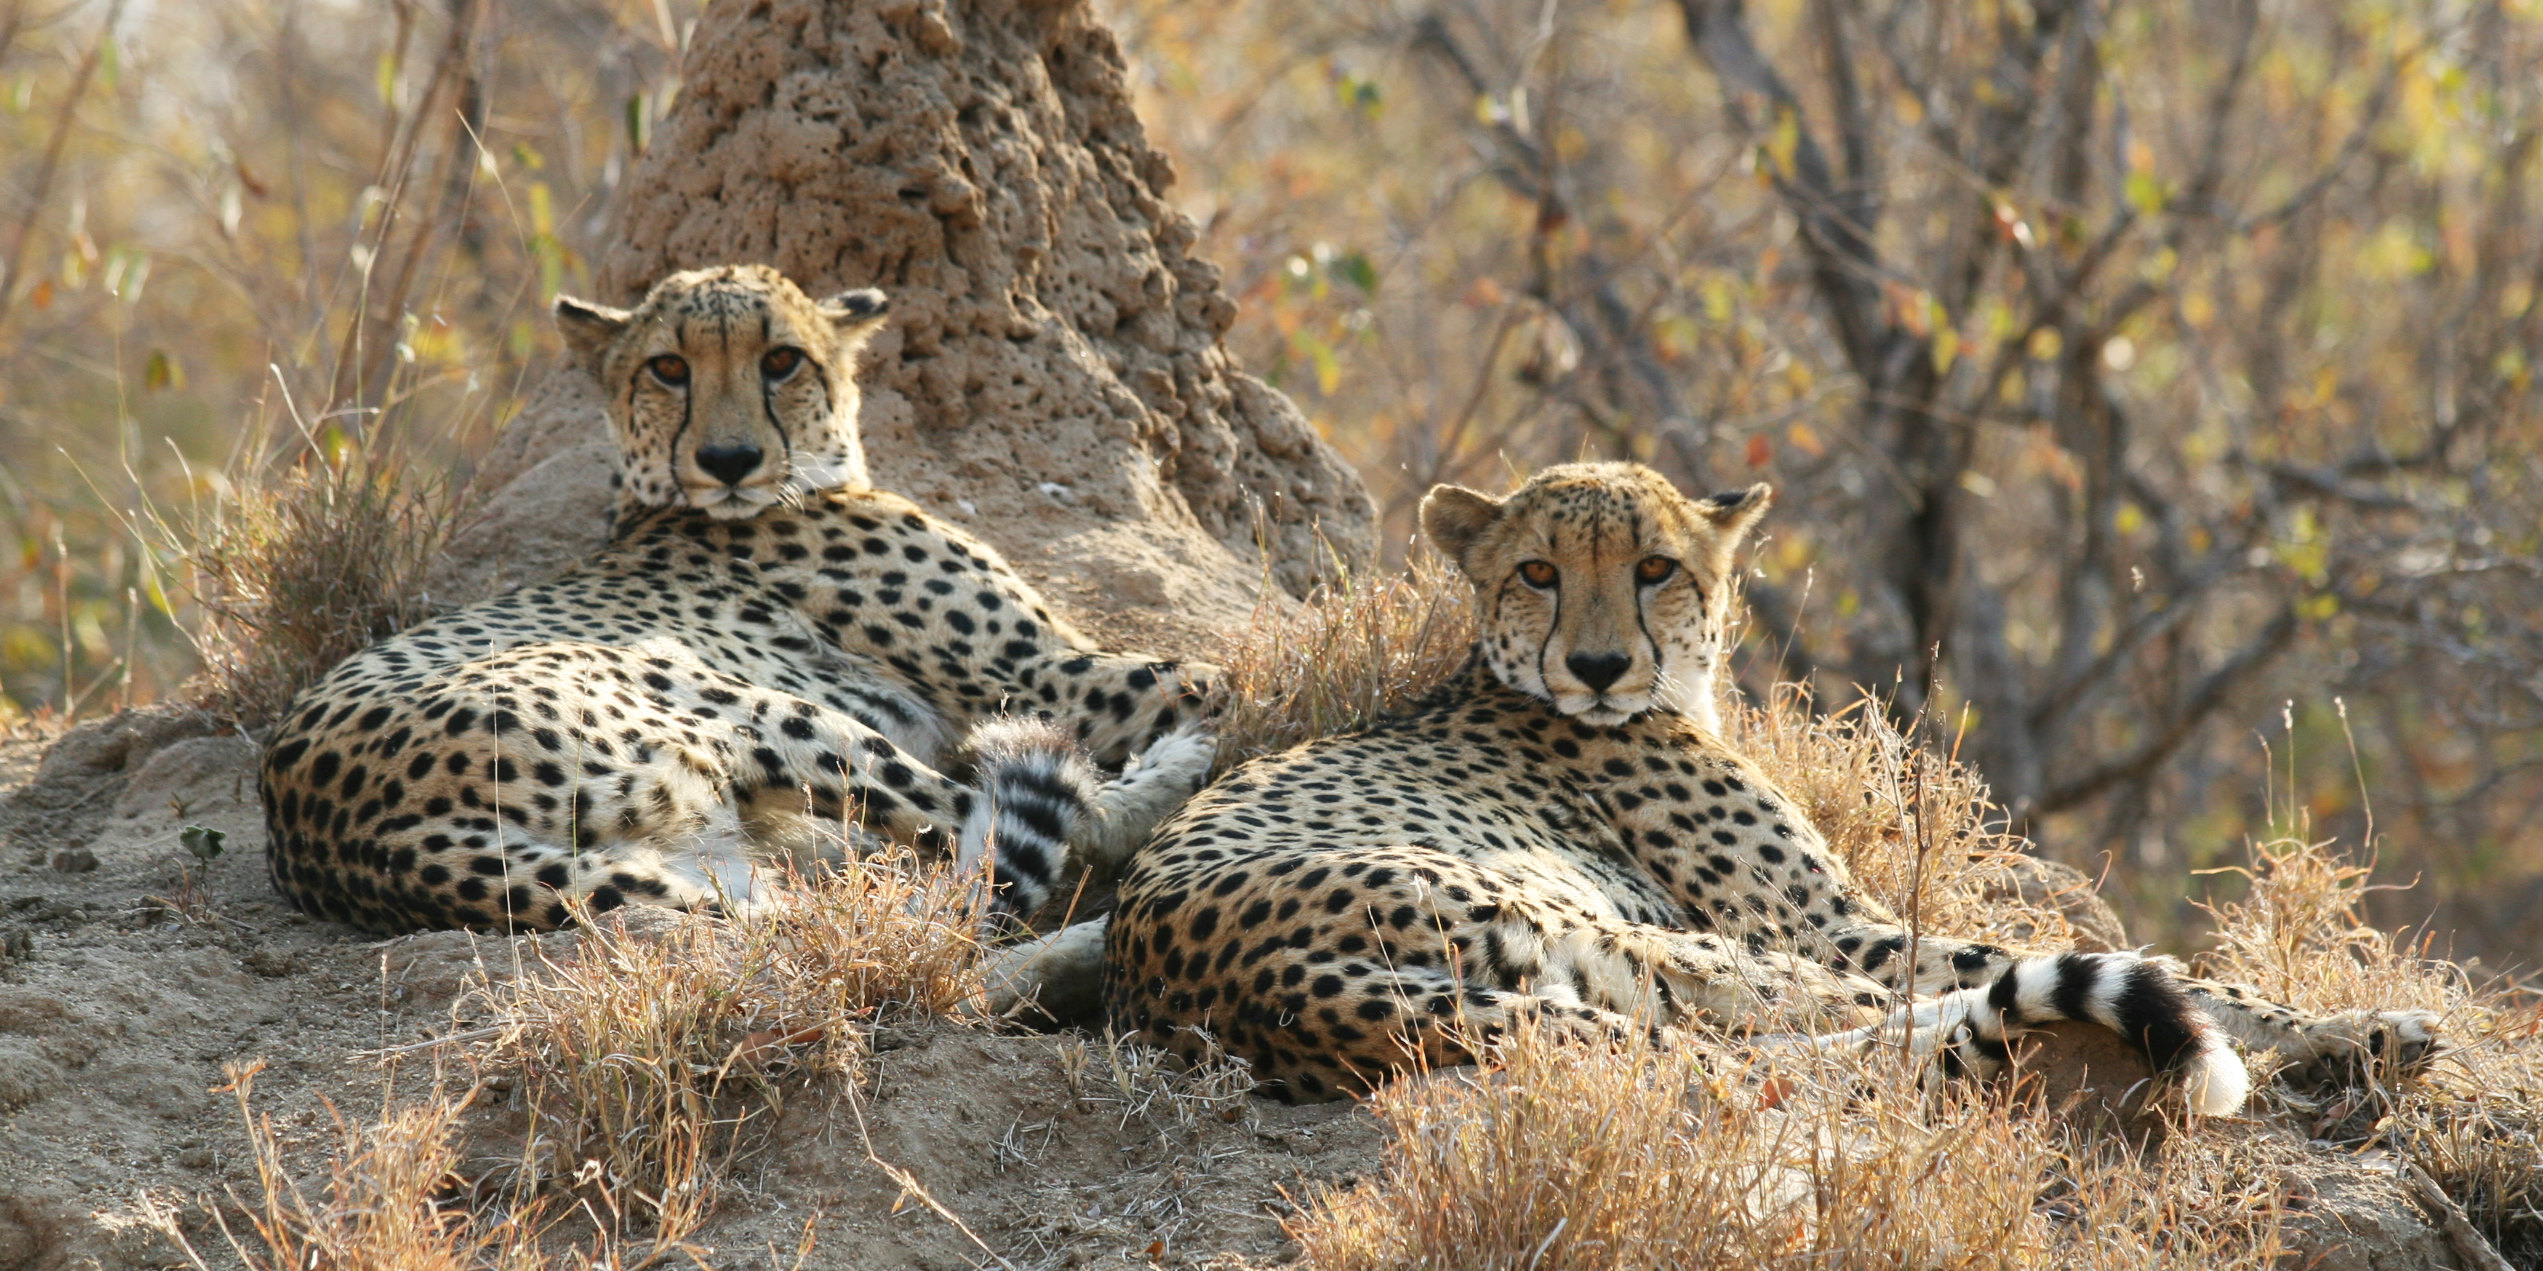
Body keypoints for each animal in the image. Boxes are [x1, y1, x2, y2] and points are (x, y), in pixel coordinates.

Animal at [263, 263, 1215, 935]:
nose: (728, 460)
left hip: (706, 859)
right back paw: (1170, 774)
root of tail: (348, 838)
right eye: (668, 368)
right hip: (745, 705)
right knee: (1022, 818)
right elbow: (1211, 675)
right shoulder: (1057, 674)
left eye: (782, 360)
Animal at [1098, 465, 2441, 1103]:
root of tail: (1211, 982)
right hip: (1629, 942)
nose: (1597, 666)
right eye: (1535, 570)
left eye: (1652, 566)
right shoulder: (1828, 924)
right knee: (1833, 1037)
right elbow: (2187, 973)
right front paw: (2354, 1024)